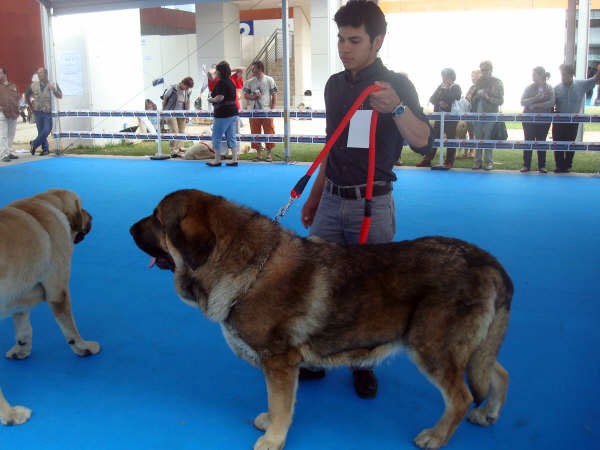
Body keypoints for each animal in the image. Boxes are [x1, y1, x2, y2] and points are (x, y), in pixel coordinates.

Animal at [0, 189, 101, 426]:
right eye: (81, 206)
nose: (92, 216)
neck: (42, 203)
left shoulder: (19, 297)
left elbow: (24, 329)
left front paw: (21, 350)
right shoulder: (59, 291)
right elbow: (71, 328)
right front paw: (83, 347)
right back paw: (10, 414)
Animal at [130, 188, 510, 448]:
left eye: (157, 218)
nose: (130, 228)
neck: (250, 269)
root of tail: (489, 262)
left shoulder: (278, 361)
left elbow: (280, 403)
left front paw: (273, 439)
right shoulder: (282, 366)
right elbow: (281, 403)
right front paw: (270, 423)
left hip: (432, 349)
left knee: (460, 397)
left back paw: (436, 436)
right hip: (471, 349)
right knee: (497, 372)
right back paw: (487, 413)